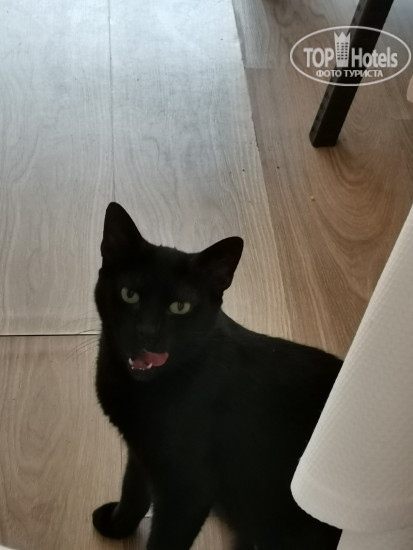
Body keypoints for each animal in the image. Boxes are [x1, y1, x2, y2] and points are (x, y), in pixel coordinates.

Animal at [92, 202, 342, 550]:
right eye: (129, 295)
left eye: (180, 307)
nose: (147, 331)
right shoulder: (141, 451)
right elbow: (133, 492)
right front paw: (117, 526)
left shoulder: (189, 491)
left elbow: (164, 538)